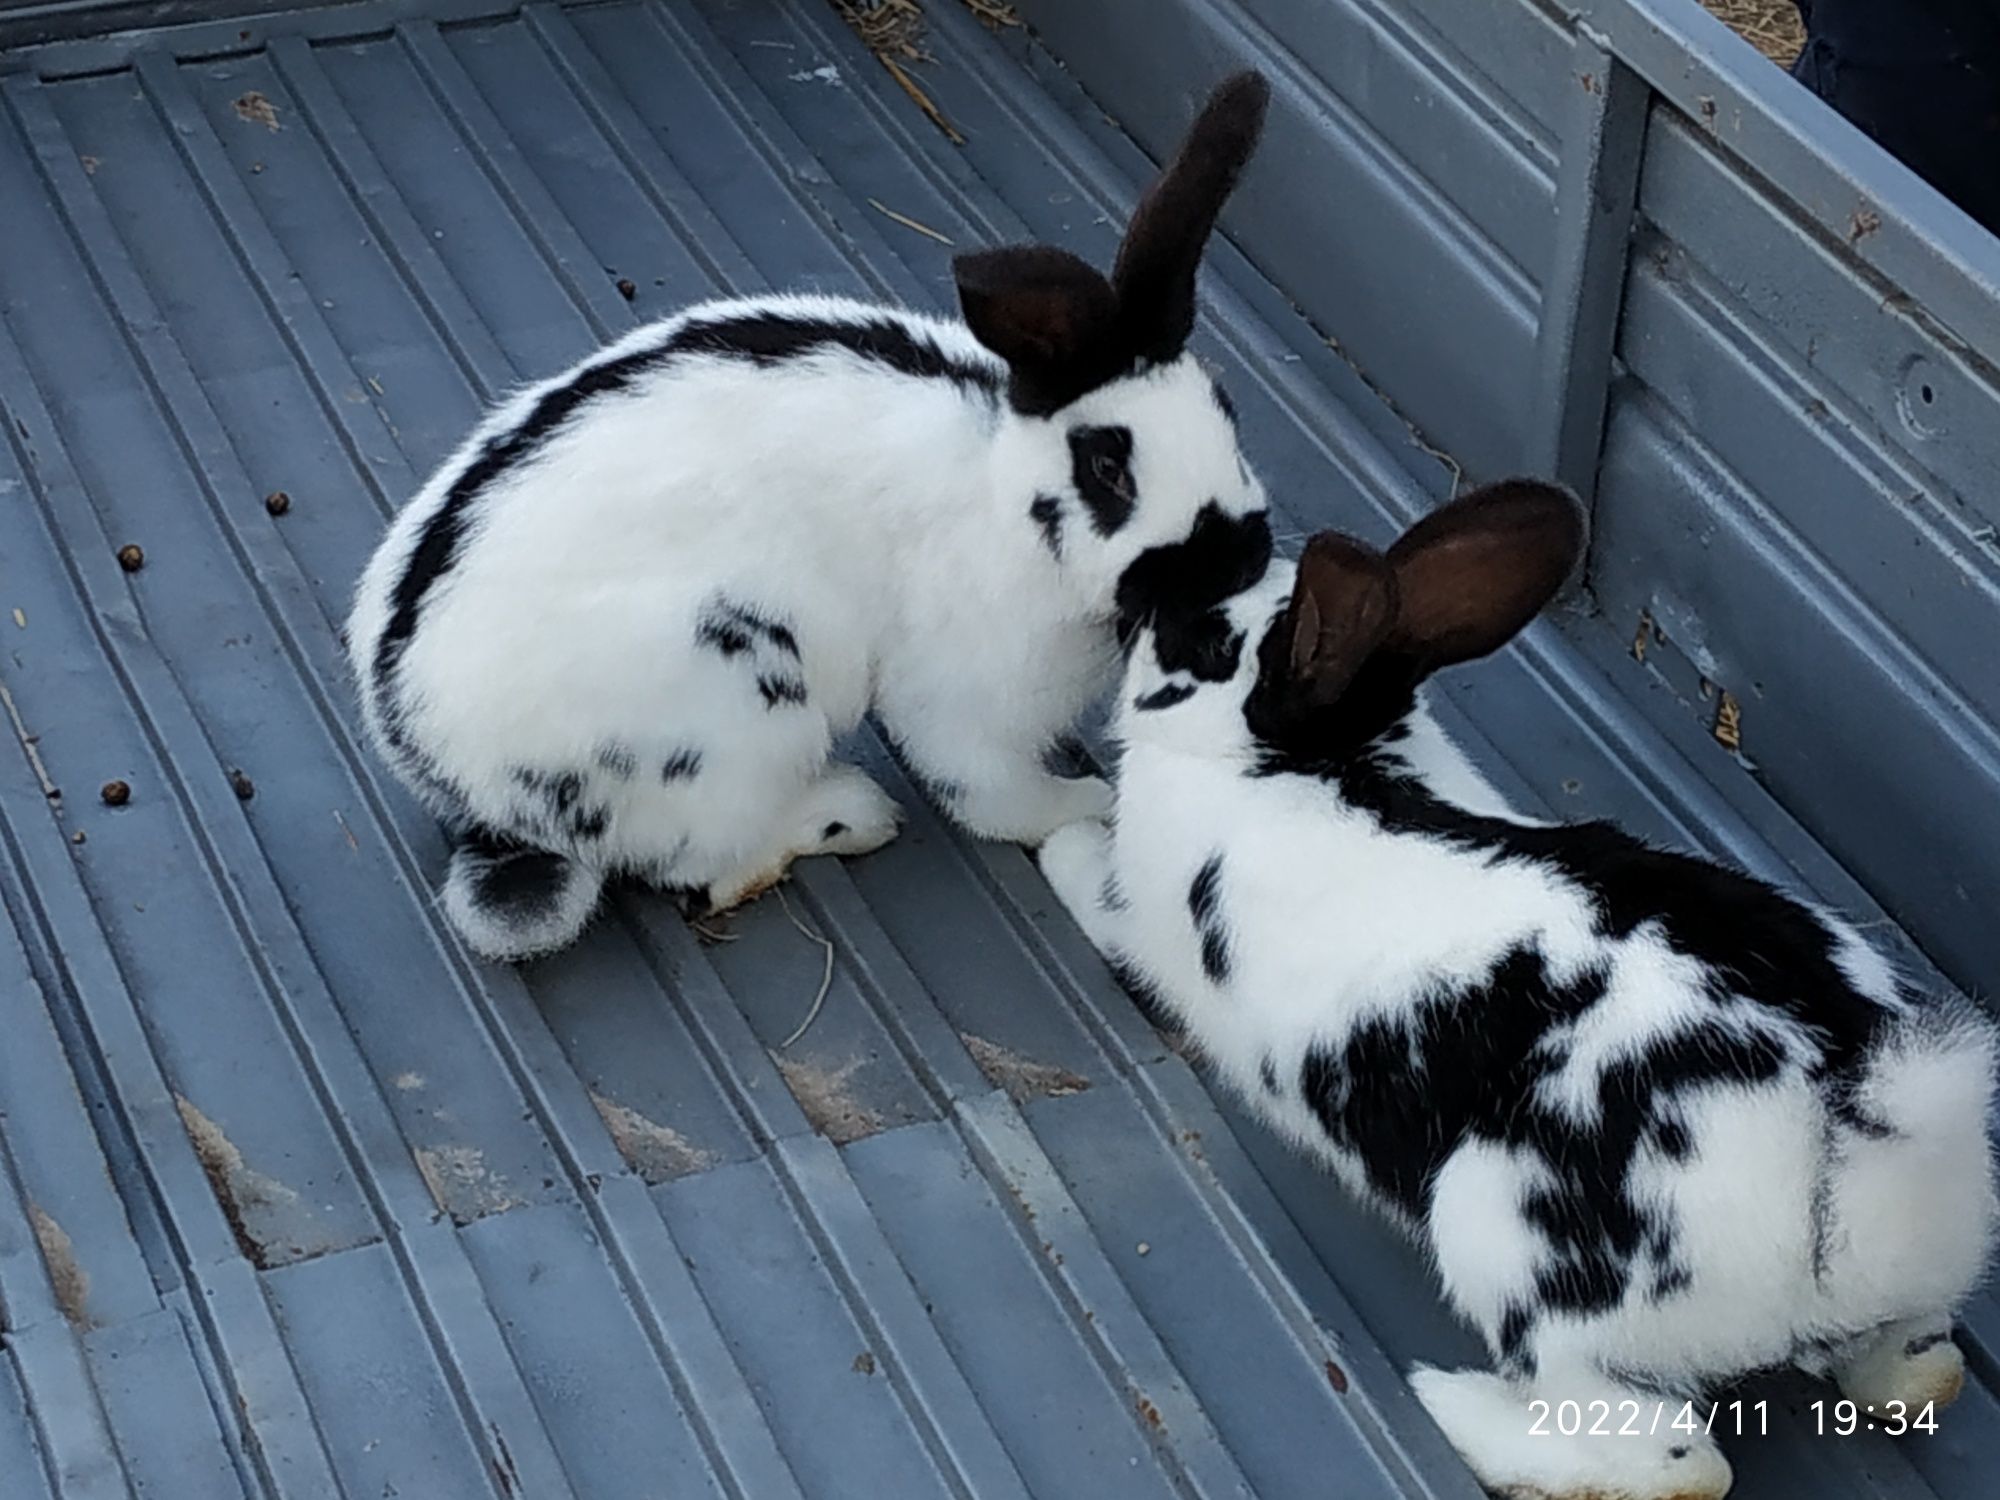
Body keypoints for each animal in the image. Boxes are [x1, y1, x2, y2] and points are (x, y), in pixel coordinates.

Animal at [350, 70, 1272, 964]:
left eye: (1227, 410)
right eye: (1109, 468)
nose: (1244, 559)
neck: (1003, 498)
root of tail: (439, 767)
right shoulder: (961, 699)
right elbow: (992, 792)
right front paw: (1084, 799)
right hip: (736, 703)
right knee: (700, 865)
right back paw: (852, 814)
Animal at [1040, 482, 1992, 1500]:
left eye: (1207, 641)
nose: (1140, 610)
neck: (1315, 762)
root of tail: (1850, 1173)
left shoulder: (1138, 919)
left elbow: (1091, 887)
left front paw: (1060, 841)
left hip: (1508, 1245)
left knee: (1677, 1459)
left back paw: (1450, 1406)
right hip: (1909, 1304)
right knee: (1921, 1373)